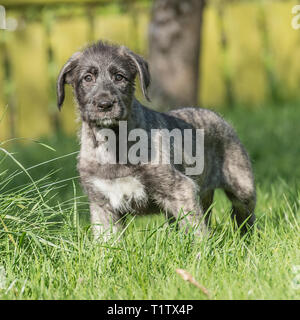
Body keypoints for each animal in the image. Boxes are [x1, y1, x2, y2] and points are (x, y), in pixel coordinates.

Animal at [56, 40, 255, 240]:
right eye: (87, 78)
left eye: (119, 77)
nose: (105, 104)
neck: (112, 141)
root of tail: (219, 117)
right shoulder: (101, 204)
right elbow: (106, 241)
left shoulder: (181, 189)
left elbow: (196, 230)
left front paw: (203, 249)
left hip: (242, 188)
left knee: (244, 218)